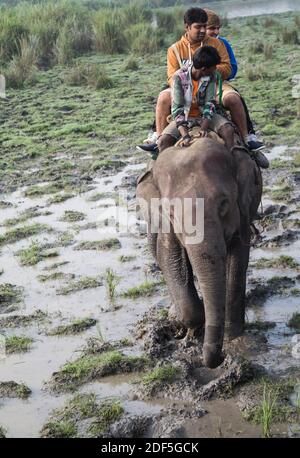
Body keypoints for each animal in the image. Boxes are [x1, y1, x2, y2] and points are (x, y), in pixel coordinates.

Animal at [137, 138, 262, 370]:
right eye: (171, 213)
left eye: (223, 204)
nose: (220, 360)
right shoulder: (165, 225)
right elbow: (169, 257)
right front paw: (190, 327)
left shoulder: (243, 211)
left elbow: (238, 261)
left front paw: (233, 338)